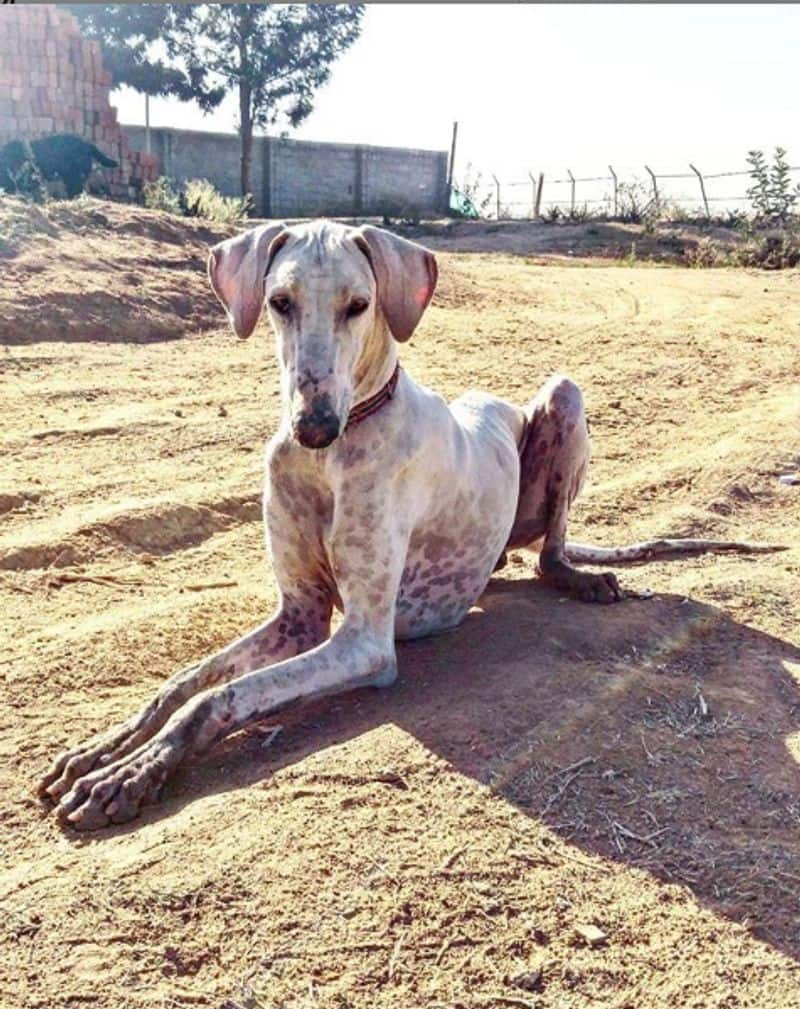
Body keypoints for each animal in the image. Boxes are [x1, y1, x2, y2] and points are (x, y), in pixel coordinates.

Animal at [39, 220, 778, 827]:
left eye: (358, 305)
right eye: (280, 302)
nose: (313, 425)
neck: (333, 454)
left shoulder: (365, 641)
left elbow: (219, 698)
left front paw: (133, 774)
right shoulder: (298, 616)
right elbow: (186, 682)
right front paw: (105, 748)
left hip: (564, 393)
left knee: (551, 551)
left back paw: (582, 578)